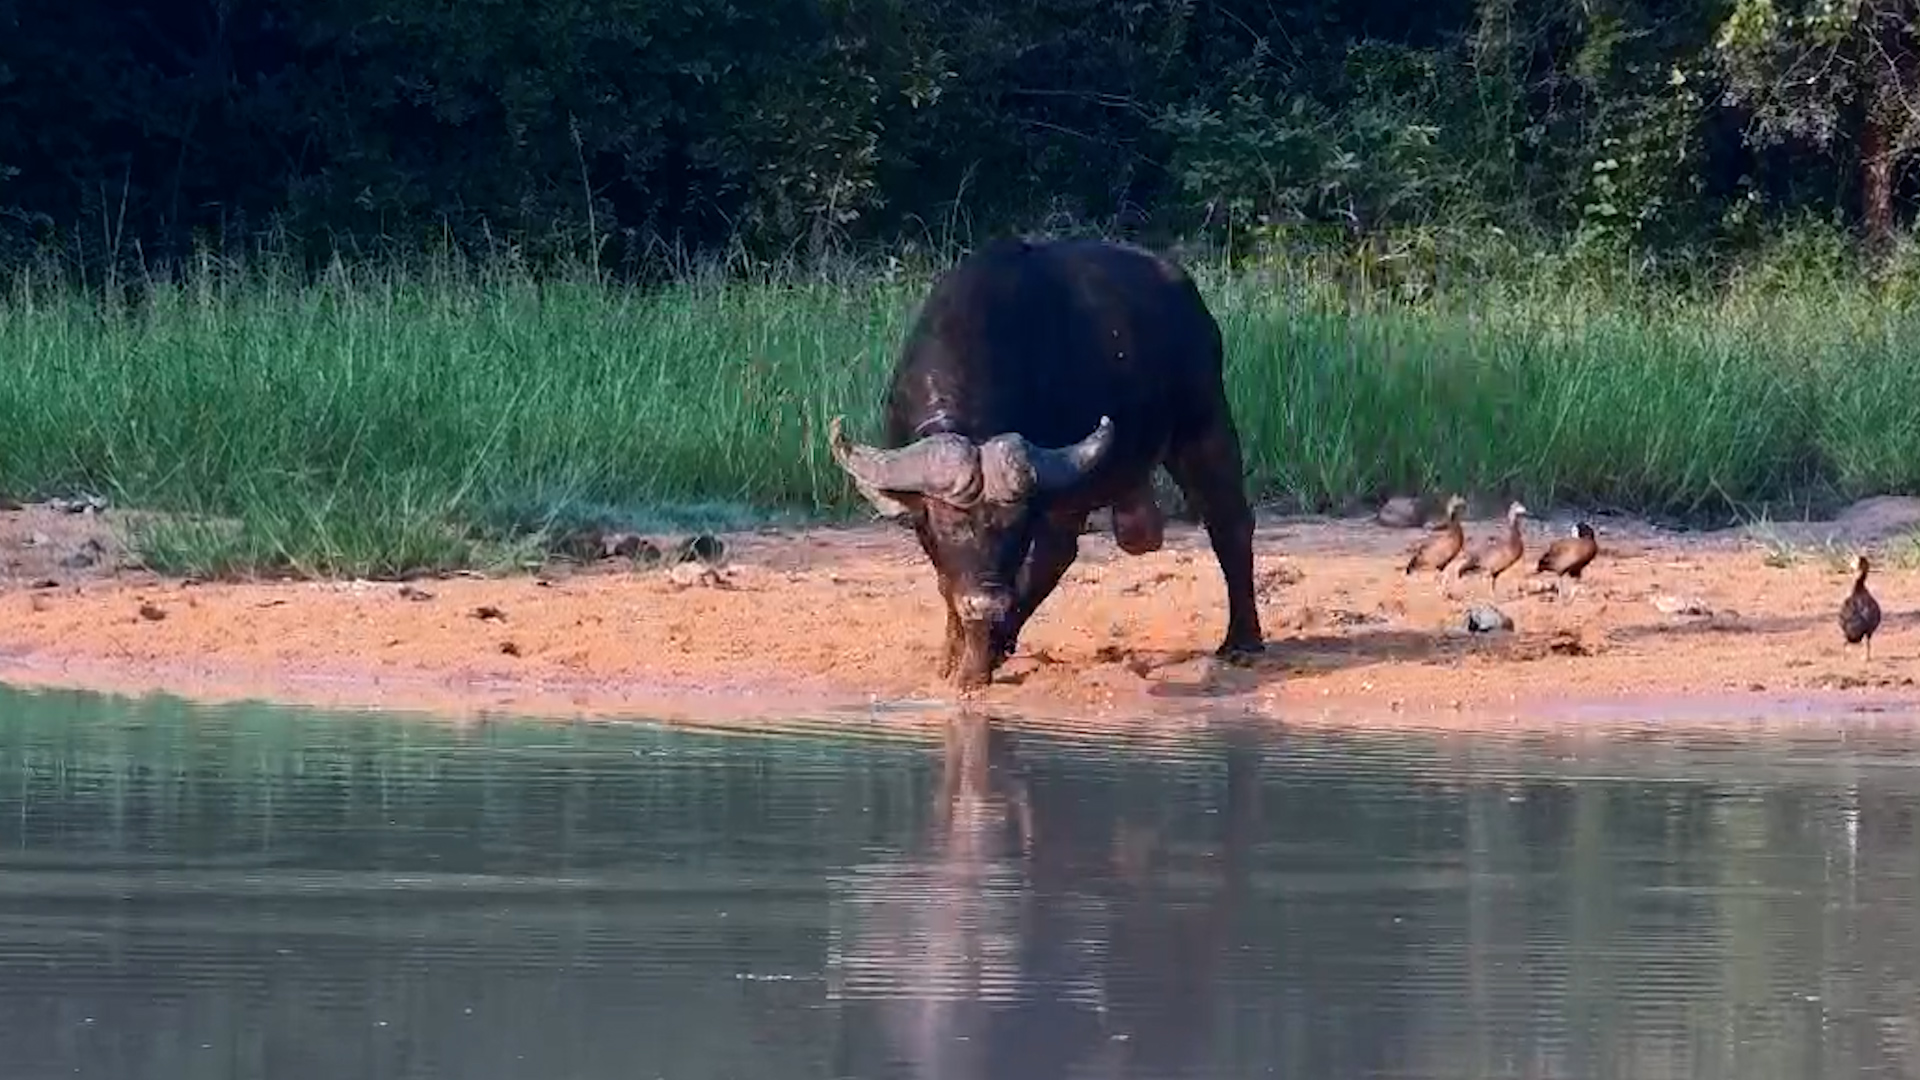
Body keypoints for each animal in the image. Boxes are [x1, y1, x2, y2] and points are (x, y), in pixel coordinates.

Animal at [824, 237, 1267, 688]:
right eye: (949, 525)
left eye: (1016, 528)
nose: (986, 603)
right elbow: (949, 582)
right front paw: (953, 655)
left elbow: (1037, 564)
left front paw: (977, 664)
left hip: (1204, 424)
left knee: (1228, 522)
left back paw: (1242, 641)